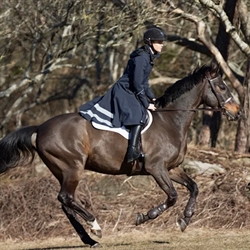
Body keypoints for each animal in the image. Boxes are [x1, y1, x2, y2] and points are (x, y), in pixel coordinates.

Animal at [0, 62, 241, 246]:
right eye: (221, 87)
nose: (237, 113)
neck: (171, 121)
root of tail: (40, 128)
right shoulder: (156, 168)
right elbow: (172, 196)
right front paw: (144, 217)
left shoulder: (171, 168)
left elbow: (194, 187)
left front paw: (186, 219)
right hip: (72, 168)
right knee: (66, 198)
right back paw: (95, 227)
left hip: (62, 171)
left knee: (65, 204)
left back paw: (89, 239)